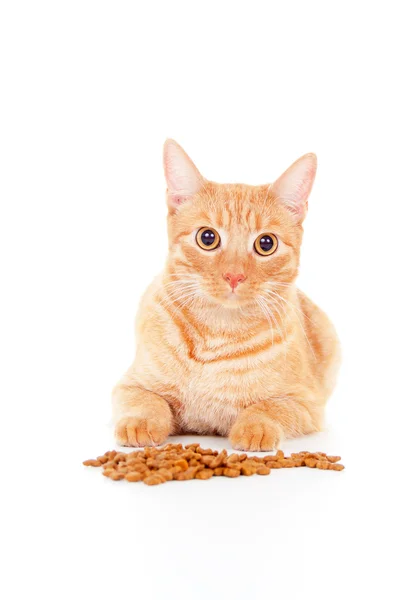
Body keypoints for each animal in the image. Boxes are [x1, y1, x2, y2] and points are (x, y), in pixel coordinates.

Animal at [111, 141, 340, 450]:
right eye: (207, 238)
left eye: (266, 244)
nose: (234, 275)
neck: (217, 331)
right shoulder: (129, 385)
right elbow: (146, 401)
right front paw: (140, 423)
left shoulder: (305, 404)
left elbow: (267, 407)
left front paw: (254, 428)